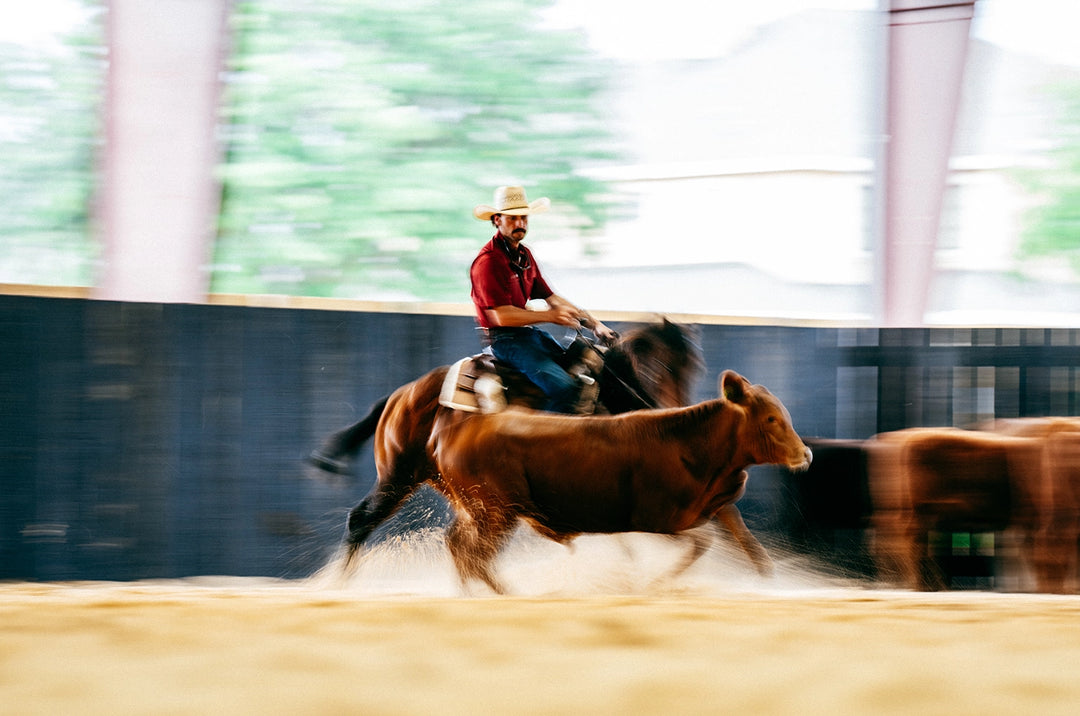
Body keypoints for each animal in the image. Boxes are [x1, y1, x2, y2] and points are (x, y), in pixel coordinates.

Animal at [426, 370, 812, 594]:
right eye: (771, 418)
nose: (806, 454)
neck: (686, 444)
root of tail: (460, 428)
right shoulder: (657, 520)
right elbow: (703, 541)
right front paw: (652, 583)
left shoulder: (709, 508)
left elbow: (741, 538)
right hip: (497, 512)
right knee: (472, 552)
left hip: (482, 512)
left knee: (460, 545)